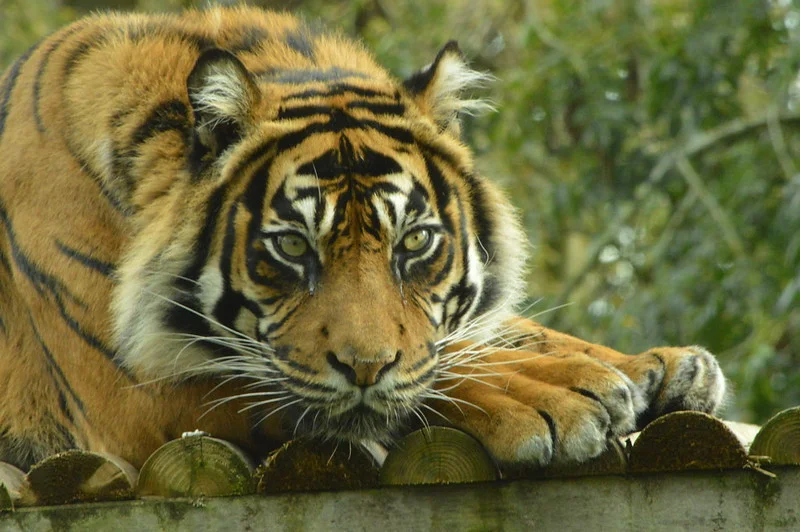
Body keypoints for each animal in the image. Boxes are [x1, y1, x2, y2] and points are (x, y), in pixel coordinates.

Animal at [0, 6, 726, 472]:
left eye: (415, 243)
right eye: (293, 247)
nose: (366, 369)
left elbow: (485, 337)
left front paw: (661, 366)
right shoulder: (129, 393)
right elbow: (431, 376)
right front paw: (556, 397)